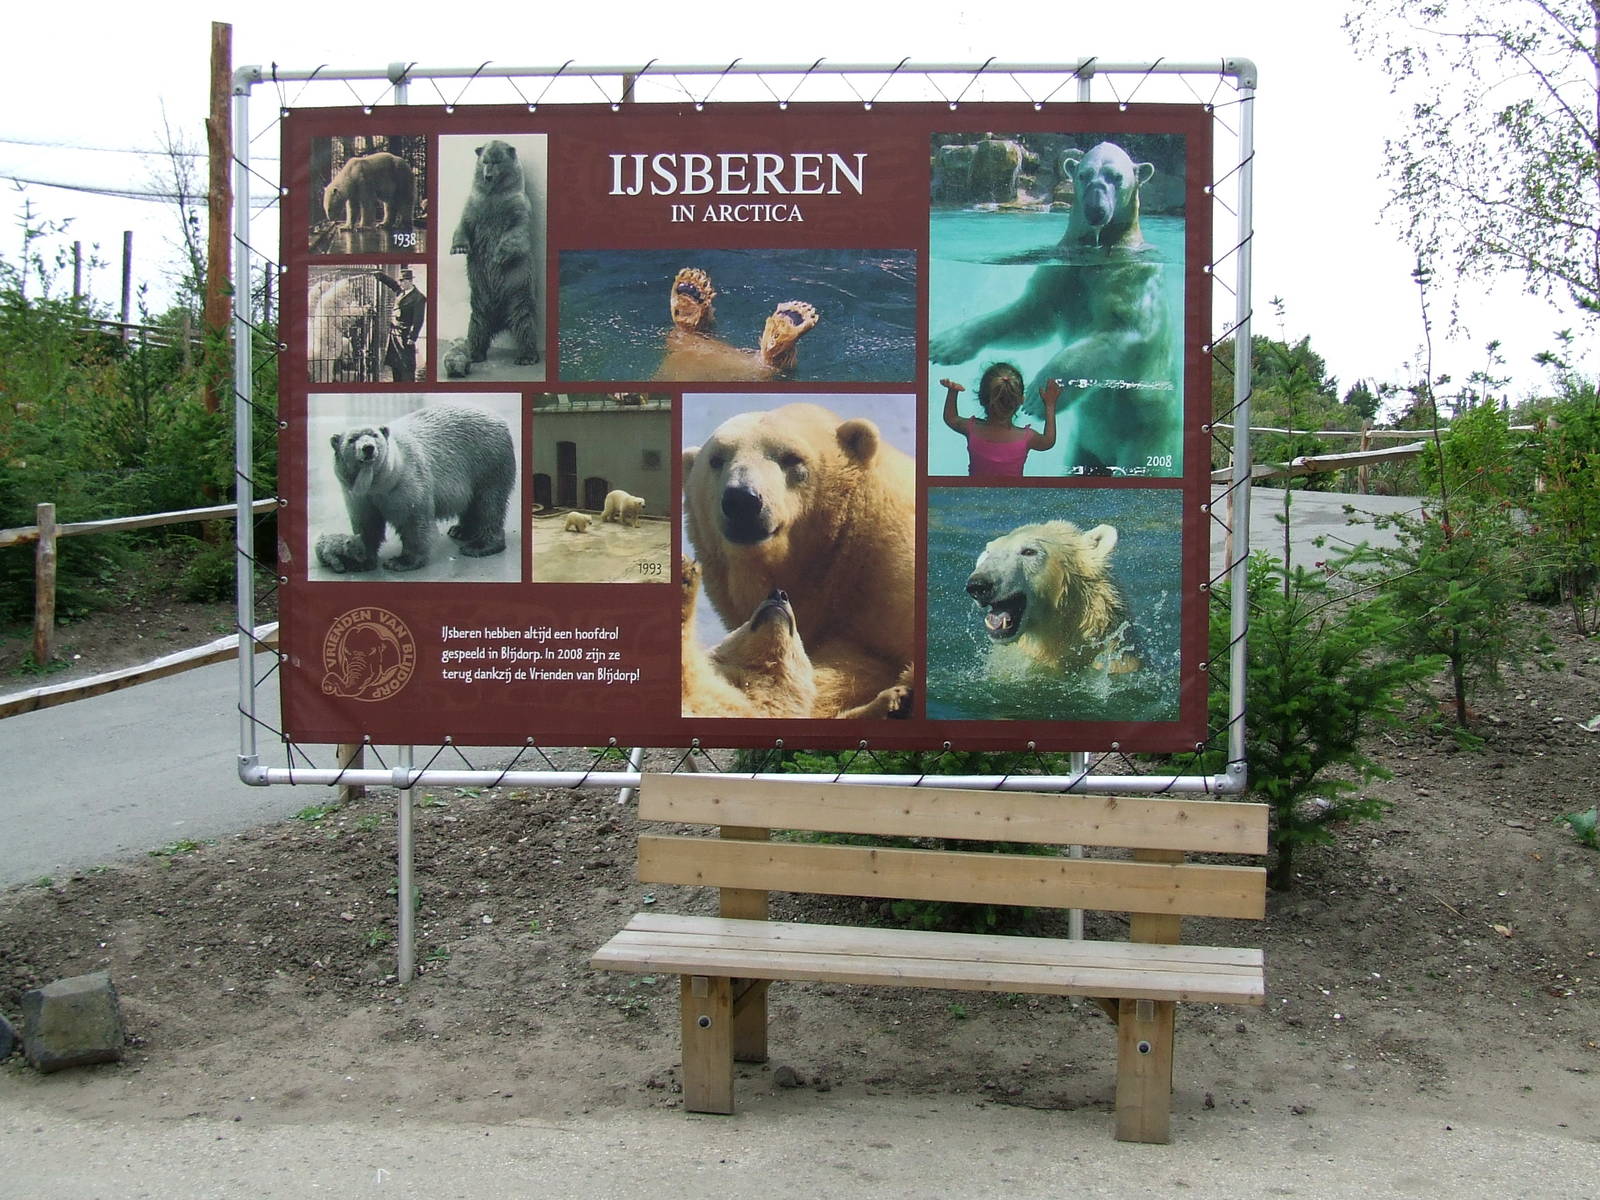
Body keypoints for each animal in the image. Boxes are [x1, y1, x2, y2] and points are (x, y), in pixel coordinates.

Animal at [314, 404, 516, 574]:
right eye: (352, 439)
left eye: (374, 435)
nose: (368, 448)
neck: (378, 483)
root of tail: (500, 420)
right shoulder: (358, 496)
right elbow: (366, 524)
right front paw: (360, 561)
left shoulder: (406, 481)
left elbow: (413, 521)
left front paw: (401, 562)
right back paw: (460, 530)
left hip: (487, 460)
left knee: (489, 503)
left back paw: (480, 545)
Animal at [450, 140, 541, 367]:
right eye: (485, 161)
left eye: (498, 161)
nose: (488, 176)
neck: (494, 194)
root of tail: (500, 320)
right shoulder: (475, 204)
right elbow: (464, 225)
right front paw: (459, 248)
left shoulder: (517, 205)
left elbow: (516, 232)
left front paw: (498, 256)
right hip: (480, 299)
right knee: (477, 326)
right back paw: (475, 353)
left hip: (518, 293)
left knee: (524, 323)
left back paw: (526, 356)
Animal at [928, 140, 1177, 475]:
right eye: (1084, 174)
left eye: (1115, 176)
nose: (1096, 210)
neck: (1100, 251)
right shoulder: (1062, 273)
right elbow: (1033, 316)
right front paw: (947, 344)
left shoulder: (1131, 278)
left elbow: (1121, 329)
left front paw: (1038, 395)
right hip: (1085, 446)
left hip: (1146, 436)